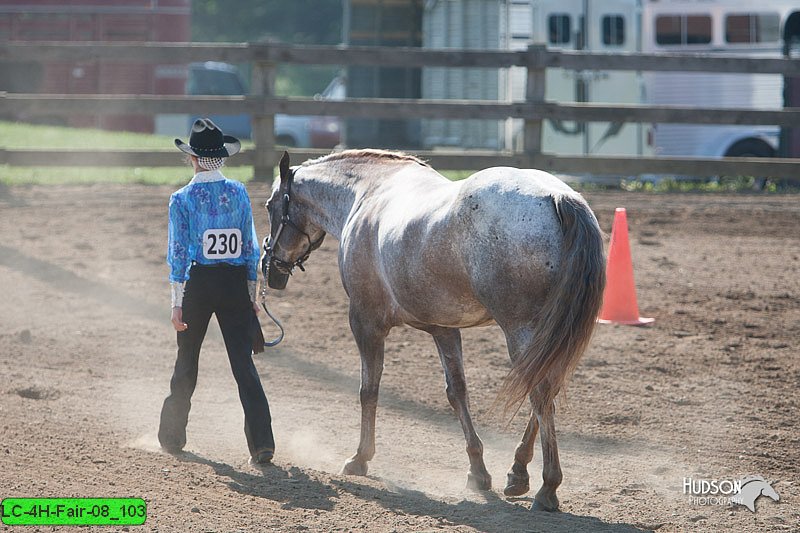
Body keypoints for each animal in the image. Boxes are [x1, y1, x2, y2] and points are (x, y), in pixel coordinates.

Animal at [264, 150, 608, 512]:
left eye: (271, 206)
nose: (270, 266)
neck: (367, 194)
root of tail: (558, 197)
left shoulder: (365, 322)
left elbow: (368, 391)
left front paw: (360, 458)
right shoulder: (444, 329)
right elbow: (457, 392)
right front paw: (477, 472)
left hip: (522, 330)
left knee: (540, 394)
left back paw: (547, 488)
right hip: (547, 335)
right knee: (547, 391)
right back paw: (517, 473)